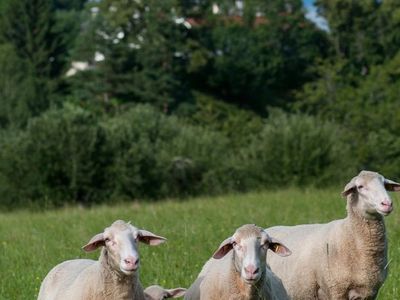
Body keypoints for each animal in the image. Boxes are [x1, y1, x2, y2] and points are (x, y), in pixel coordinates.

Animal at [266, 170, 400, 298]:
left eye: (384, 184)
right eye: (360, 186)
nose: (387, 204)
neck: (349, 233)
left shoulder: (370, 292)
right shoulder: (336, 289)